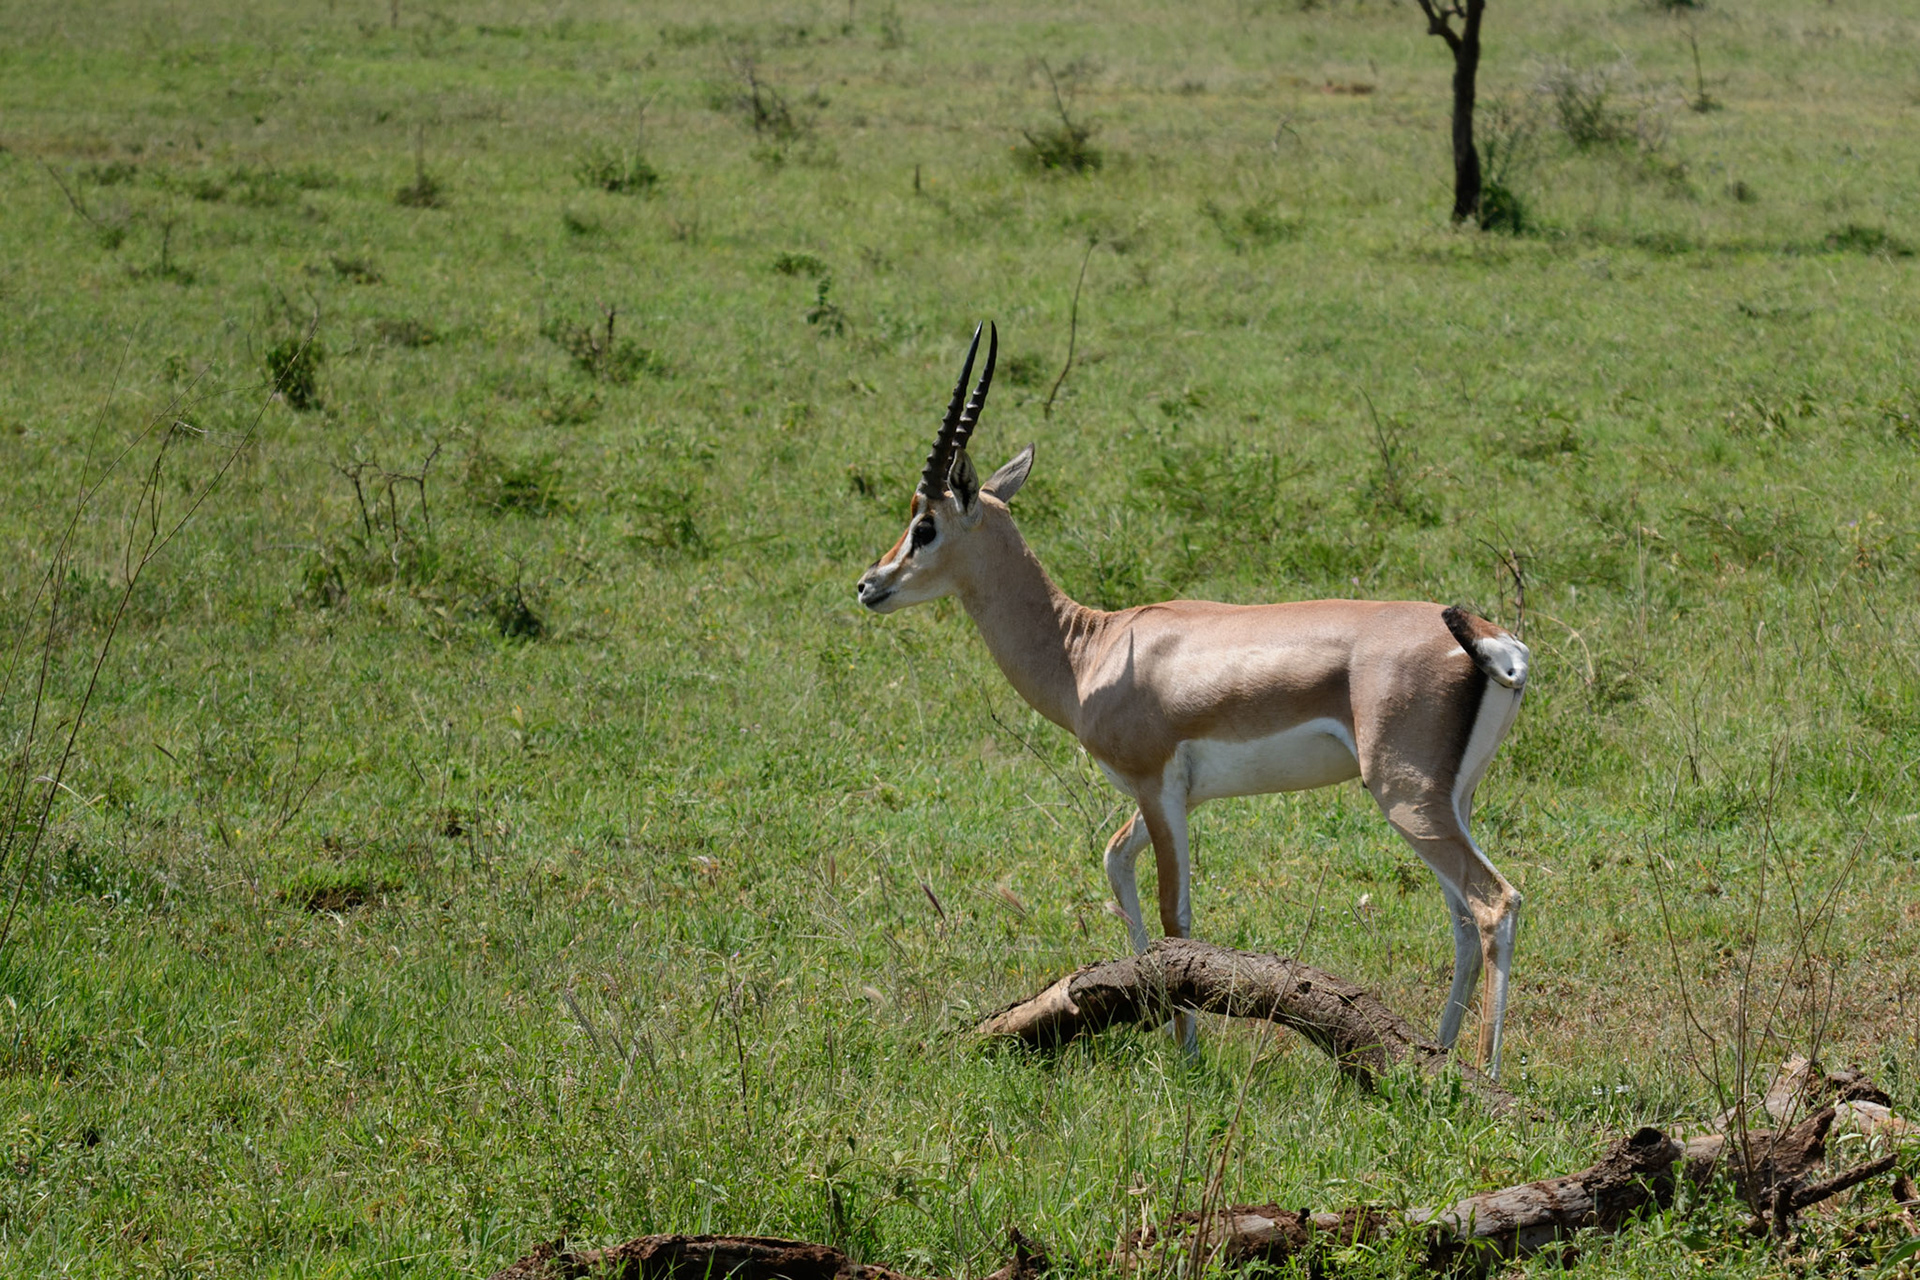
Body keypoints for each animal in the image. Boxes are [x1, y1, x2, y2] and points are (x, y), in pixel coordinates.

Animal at [855, 324, 1531, 1076]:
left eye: (925, 526)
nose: (869, 584)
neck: (1087, 649)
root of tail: (1493, 640)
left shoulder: (1156, 787)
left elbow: (1175, 916)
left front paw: (1187, 1056)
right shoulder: (1168, 797)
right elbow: (1114, 863)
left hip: (1403, 796)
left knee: (1494, 903)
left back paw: (1483, 1075)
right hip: (1449, 801)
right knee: (1462, 917)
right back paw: (1434, 1056)